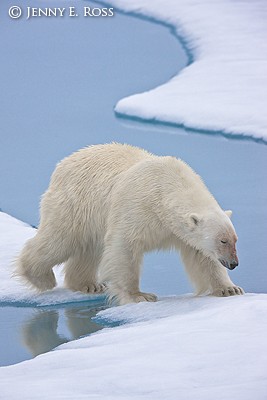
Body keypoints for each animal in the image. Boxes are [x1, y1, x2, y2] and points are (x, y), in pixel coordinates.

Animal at [15, 143, 244, 304]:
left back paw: (89, 285)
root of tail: (63, 163)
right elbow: (124, 247)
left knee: (89, 248)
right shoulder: (138, 208)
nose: (233, 264)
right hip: (75, 205)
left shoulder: (179, 231)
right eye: (222, 241)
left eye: (235, 239)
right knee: (59, 240)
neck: (165, 186)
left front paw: (230, 289)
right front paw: (139, 295)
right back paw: (41, 277)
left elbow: (202, 257)